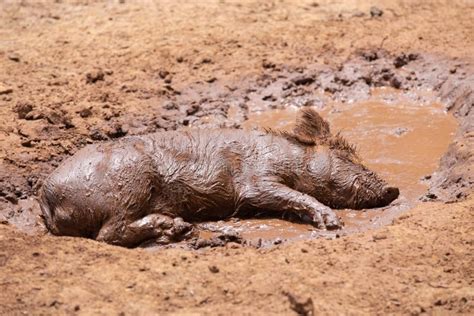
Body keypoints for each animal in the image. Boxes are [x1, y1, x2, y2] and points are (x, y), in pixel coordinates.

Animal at [39, 108, 398, 247]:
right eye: (347, 156)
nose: (394, 188)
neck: (290, 155)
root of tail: (47, 198)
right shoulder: (257, 180)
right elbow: (289, 194)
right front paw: (333, 223)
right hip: (128, 185)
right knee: (107, 234)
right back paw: (178, 228)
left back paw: (181, 230)